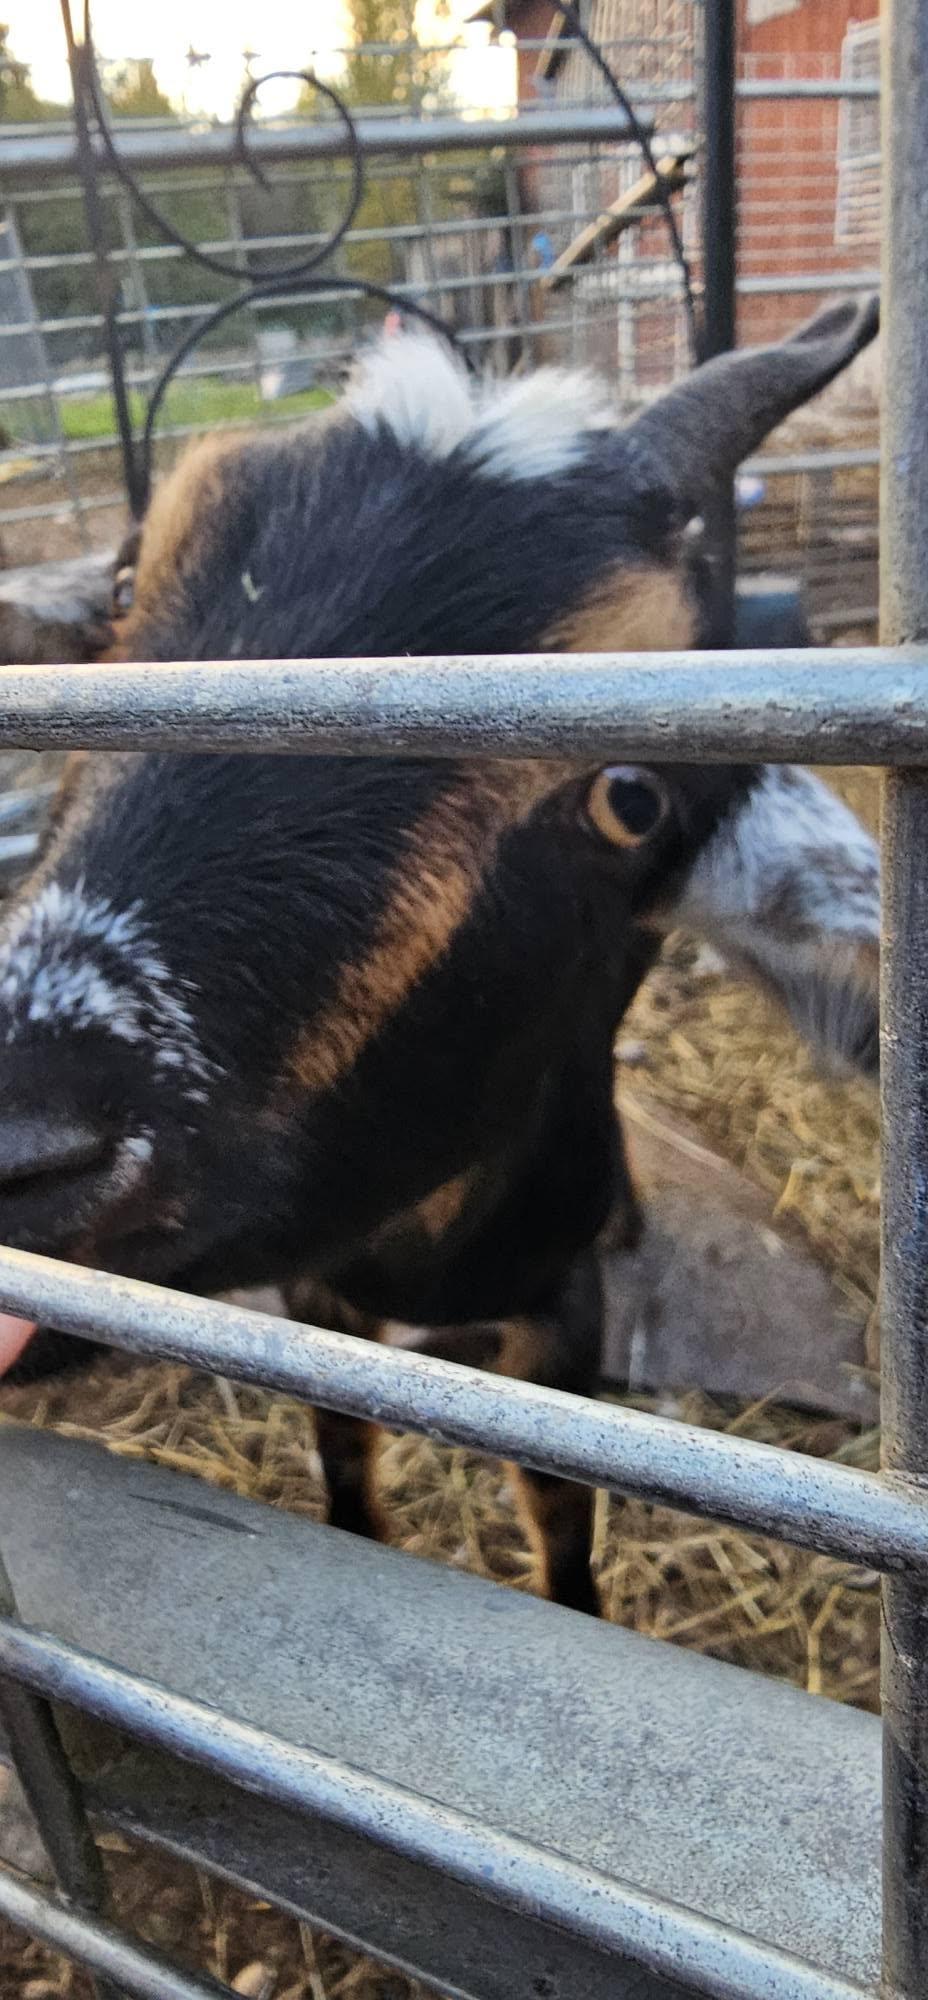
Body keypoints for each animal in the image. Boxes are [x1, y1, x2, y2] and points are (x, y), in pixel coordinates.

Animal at [0, 299, 880, 1613]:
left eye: (632, 797)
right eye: (120, 586)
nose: (18, 1138)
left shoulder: (557, 1313)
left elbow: (558, 1504)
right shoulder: (322, 1299)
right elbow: (345, 1449)